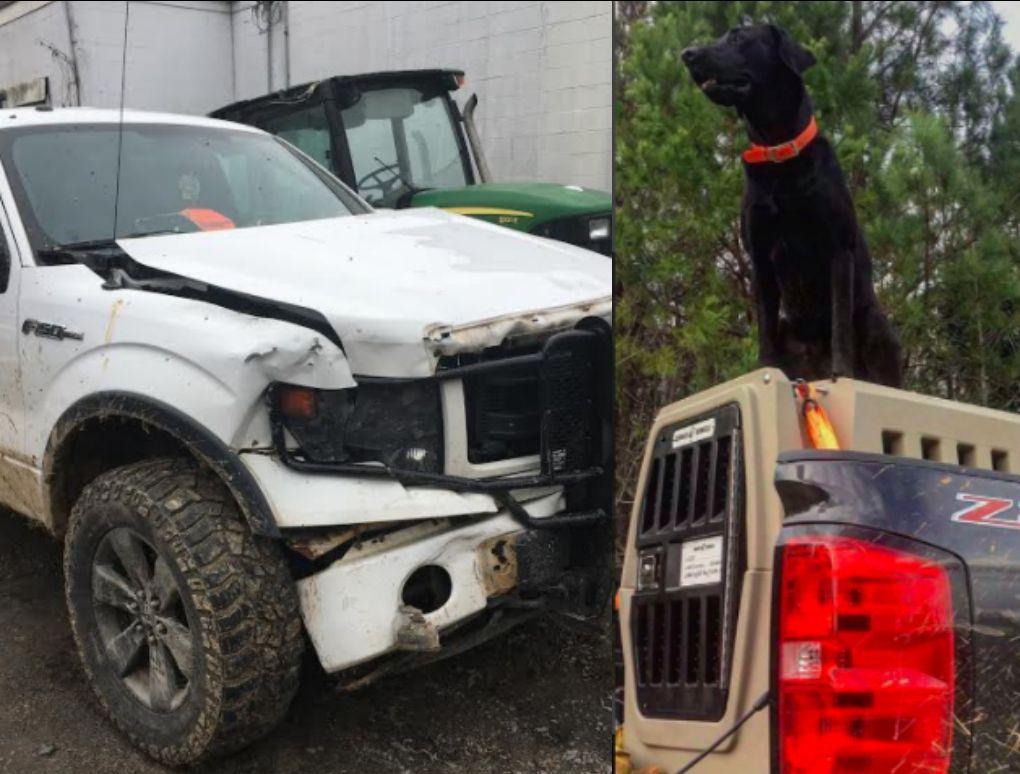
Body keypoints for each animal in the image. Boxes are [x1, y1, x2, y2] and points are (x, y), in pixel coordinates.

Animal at [681, 24, 905, 387]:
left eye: (738, 37)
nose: (687, 53)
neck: (779, 153)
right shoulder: (760, 256)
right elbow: (765, 327)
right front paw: (764, 369)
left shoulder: (838, 249)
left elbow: (839, 324)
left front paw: (841, 373)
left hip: (875, 322)